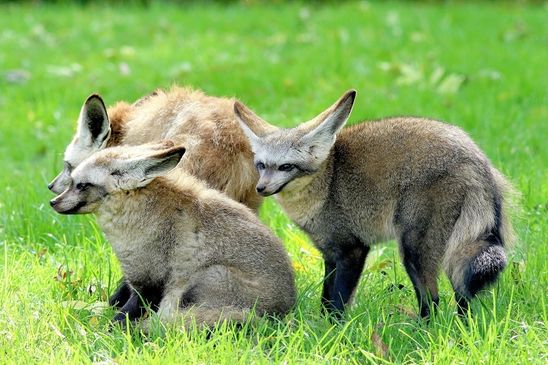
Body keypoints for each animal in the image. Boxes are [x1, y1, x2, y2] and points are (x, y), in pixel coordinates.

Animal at [50, 140, 296, 328]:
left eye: (81, 185)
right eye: (71, 182)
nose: (53, 202)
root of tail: (282, 313)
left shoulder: (149, 284)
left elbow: (118, 320)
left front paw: (103, 333)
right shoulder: (133, 281)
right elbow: (105, 305)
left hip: (203, 280)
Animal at [234, 89, 512, 318]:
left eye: (286, 167)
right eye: (262, 165)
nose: (261, 188)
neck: (328, 179)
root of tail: (476, 157)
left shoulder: (353, 249)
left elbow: (338, 302)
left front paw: (333, 330)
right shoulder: (329, 253)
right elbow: (326, 299)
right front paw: (320, 327)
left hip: (414, 251)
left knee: (433, 302)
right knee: (461, 297)